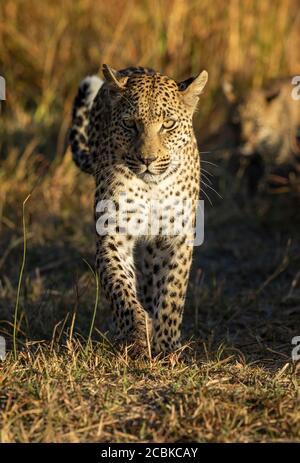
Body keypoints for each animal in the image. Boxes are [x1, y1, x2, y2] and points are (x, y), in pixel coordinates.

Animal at [69, 64, 207, 356]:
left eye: (168, 124)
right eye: (129, 124)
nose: (147, 160)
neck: (152, 187)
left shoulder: (176, 236)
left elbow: (172, 291)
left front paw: (167, 345)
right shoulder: (113, 233)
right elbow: (119, 286)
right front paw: (136, 333)